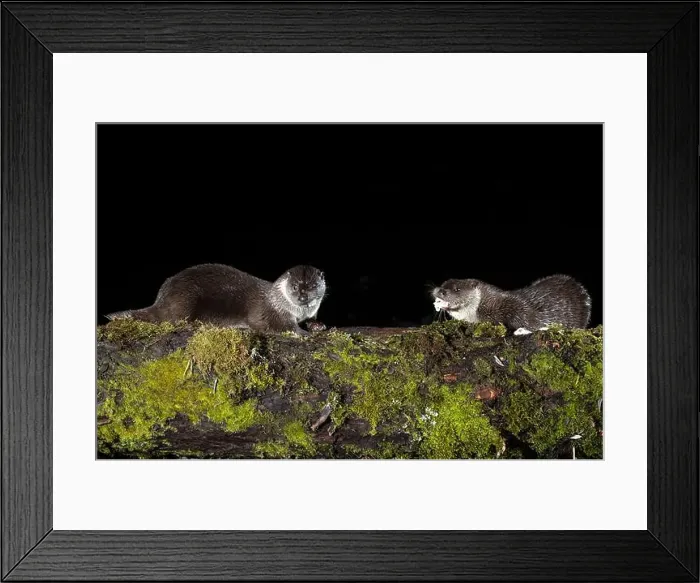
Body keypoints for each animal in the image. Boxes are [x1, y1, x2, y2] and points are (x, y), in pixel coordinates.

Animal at [105, 263, 327, 336]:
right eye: (295, 286)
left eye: (313, 286)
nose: (303, 296)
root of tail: (161, 299)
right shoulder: (270, 311)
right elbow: (278, 325)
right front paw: (302, 333)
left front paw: (317, 326)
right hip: (186, 299)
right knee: (174, 320)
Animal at [431, 274, 591, 335]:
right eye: (443, 284)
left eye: (457, 289)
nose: (439, 291)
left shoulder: (513, 304)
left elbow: (530, 318)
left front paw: (523, 330)